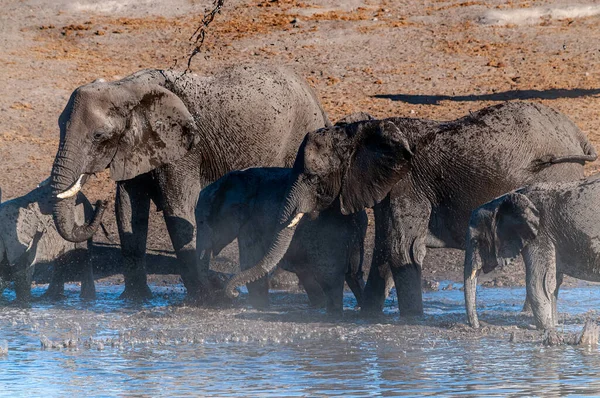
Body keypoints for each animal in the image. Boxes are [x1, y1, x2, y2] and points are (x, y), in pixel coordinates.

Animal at [49, 64, 330, 302]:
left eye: (99, 136)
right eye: (60, 125)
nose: (99, 203)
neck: (125, 87)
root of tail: (313, 95)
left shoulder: (184, 150)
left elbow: (179, 209)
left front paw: (203, 297)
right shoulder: (134, 147)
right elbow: (128, 210)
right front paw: (135, 300)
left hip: (297, 140)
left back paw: (282, 281)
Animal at [197, 166, 368, 312]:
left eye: (202, 222)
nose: (234, 293)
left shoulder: (253, 220)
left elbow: (251, 260)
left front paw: (261, 308)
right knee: (353, 273)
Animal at [224, 102, 596, 318]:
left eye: (313, 178)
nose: (229, 289)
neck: (363, 132)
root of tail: (577, 134)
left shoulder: (407, 184)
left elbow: (401, 250)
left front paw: (410, 321)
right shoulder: (386, 186)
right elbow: (384, 250)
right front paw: (369, 317)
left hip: (556, 176)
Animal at [464, 176, 600, 330]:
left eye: (475, 242)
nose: (477, 326)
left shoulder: (540, 233)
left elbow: (539, 282)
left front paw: (546, 329)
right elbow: (554, 282)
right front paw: (554, 326)